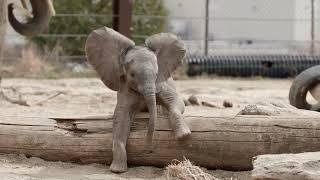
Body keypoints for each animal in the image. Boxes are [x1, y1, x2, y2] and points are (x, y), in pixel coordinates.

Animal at [84, 27, 191, 173]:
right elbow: (121, 118)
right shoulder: (125, 87)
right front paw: (117, 170)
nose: (148, 149)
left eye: (156, 74)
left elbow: (176, 101)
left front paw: (184, 136)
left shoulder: (161, 83)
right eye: (132, 75)